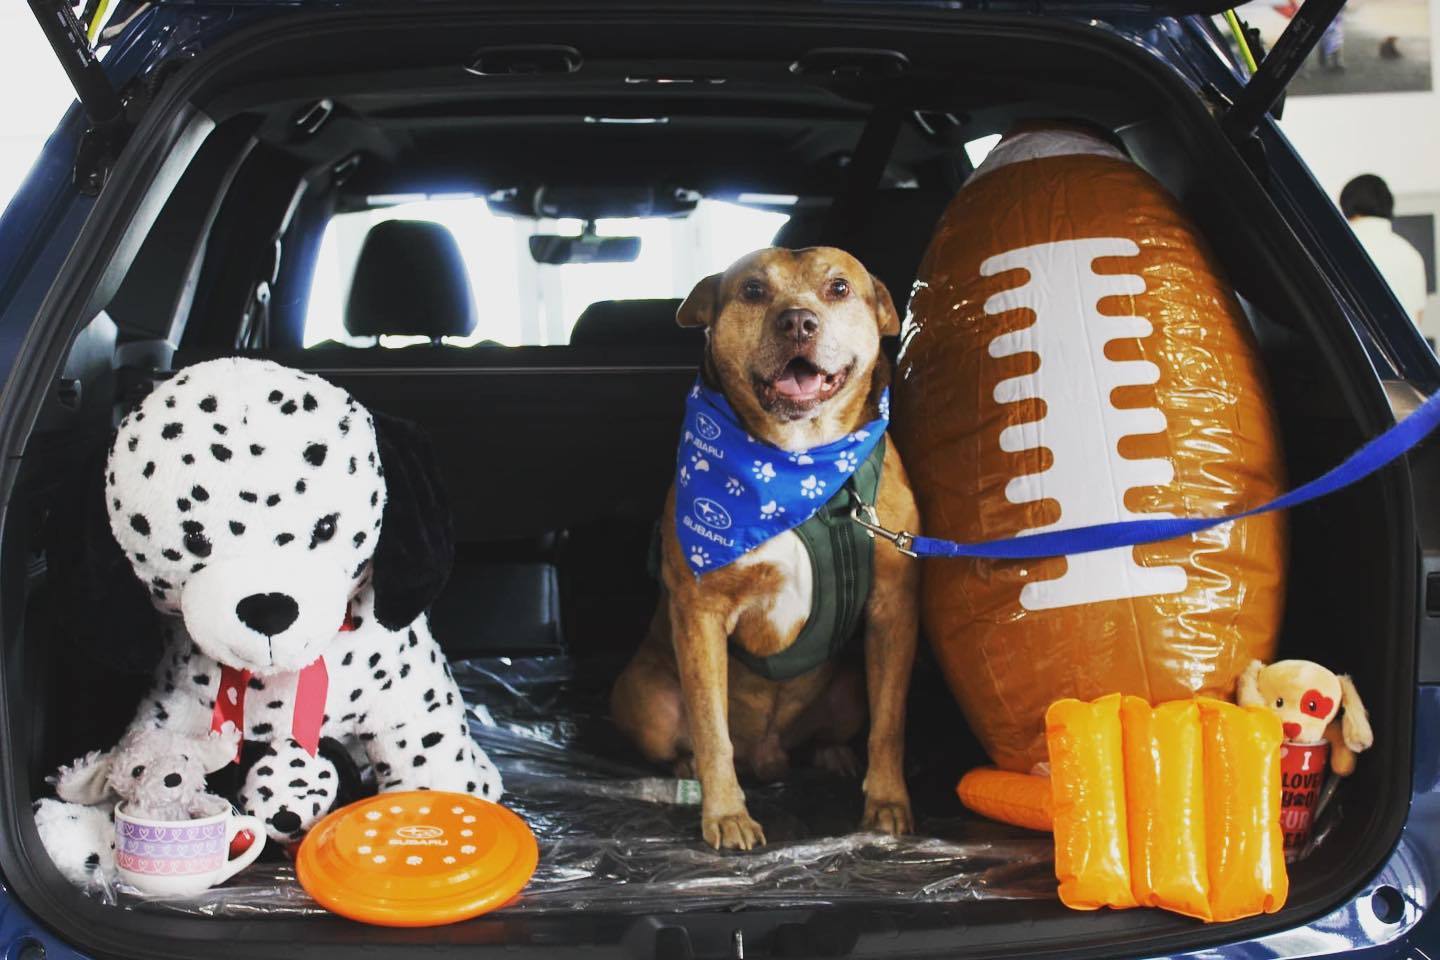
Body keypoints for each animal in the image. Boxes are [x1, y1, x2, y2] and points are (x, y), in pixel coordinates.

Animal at [610, 246, 921, 846]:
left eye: (839, 288)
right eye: (753, 290)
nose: (797, 322)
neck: (798, 465)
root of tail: (769, 757)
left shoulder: (893, 610)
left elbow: (892, 723)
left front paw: (887, 803)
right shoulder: (701, 613)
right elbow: (712, 728)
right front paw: (726, 814)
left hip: (850, 688)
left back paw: (833, 754)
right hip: (646, 699)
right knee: (686, 737)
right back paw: (688, 768)